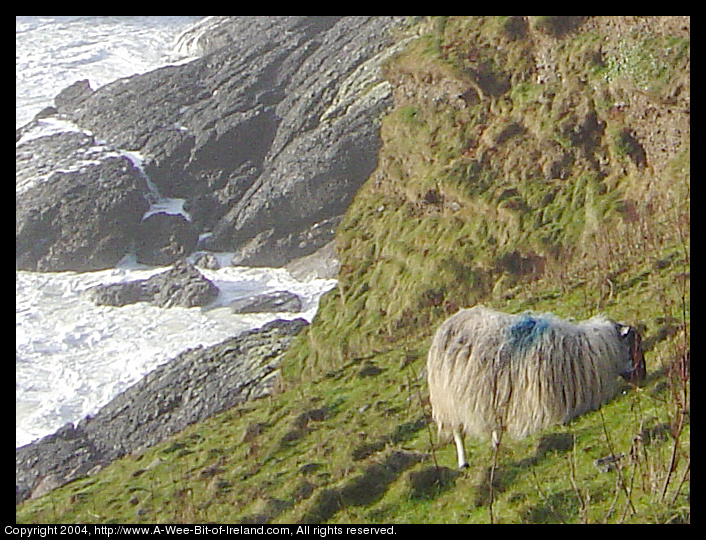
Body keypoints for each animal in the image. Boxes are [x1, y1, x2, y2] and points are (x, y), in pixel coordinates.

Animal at [424, 306, 644, 466]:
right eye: (634, 344)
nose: (643, 374)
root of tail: (449, 322)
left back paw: (496, 442)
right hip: (448, 398)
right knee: (457, 432)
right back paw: (463, 461)